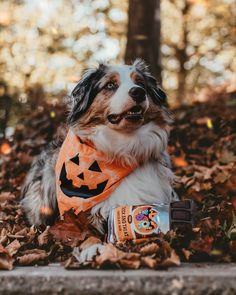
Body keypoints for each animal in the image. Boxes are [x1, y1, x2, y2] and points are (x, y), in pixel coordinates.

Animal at [21, 59, 177, 260]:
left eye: (141, 83)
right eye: (110, 85)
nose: (138, 92)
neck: (122, 149)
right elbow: (83, 230)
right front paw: (92, 247)